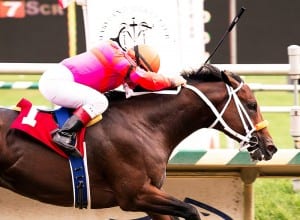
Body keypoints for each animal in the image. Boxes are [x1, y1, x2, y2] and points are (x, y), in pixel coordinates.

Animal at [0, 64, 276, 220]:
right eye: (252, 105)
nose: (270, 146)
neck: (144, 125)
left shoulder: (150, 198)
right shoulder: (135, 194)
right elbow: (192, 210)